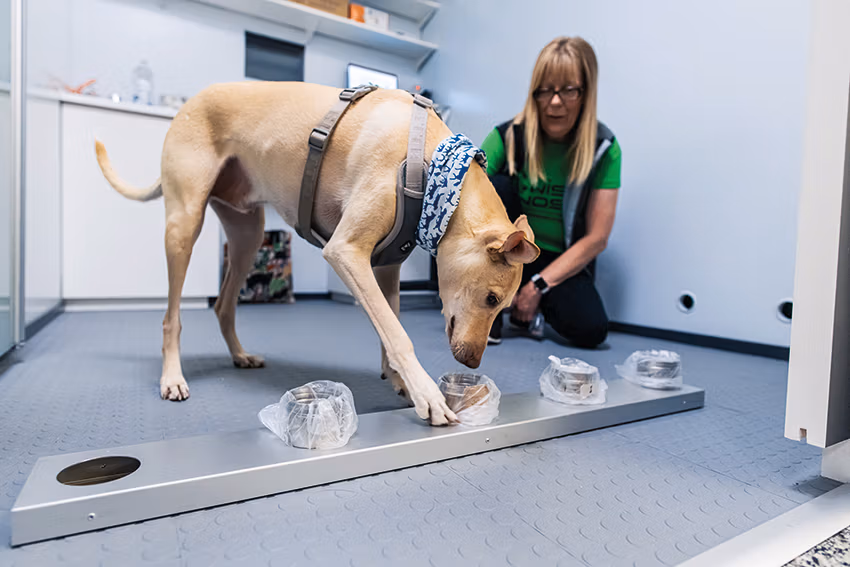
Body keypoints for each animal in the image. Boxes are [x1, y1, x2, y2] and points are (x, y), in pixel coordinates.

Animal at [95, 81, 539, 425]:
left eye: (502, 307)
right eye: (491, 299)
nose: (472, 364)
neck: (435, 170)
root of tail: (189, 101)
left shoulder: (387, 266)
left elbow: (389, 323)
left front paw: (399, 381)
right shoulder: (345, 252)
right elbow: (398, 334)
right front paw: (426, 392)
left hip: (247, 236)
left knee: (223, 305)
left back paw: (240, 355)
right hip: (184, 225)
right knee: (171, 318)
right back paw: (172, 377)